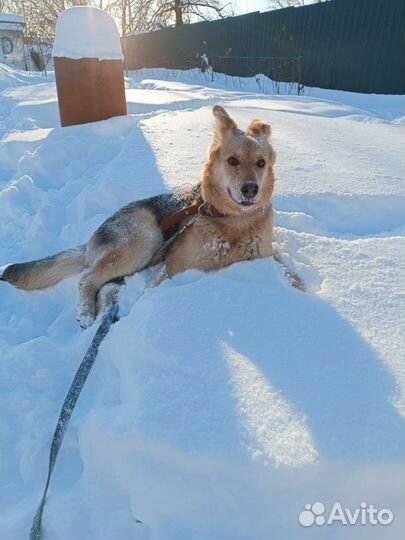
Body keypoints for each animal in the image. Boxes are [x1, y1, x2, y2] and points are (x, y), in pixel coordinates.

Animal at [0, 103, 278, 326]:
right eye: (232, 161)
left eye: (261, 163)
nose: (251, 189)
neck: (232, 223)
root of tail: (92, 240)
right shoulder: (171, 269)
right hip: (145, 240)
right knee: (87, 279)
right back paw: (87, 313)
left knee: (103, 283)